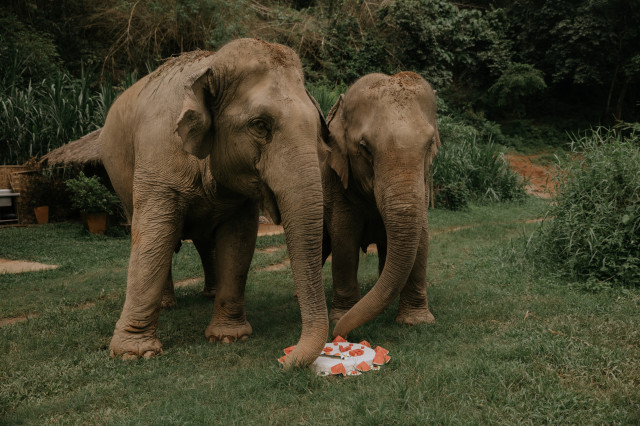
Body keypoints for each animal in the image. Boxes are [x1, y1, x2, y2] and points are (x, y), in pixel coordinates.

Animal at [99, 38, 328, 367]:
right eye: (261, 125)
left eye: (318, 128)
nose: (284, 361)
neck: (211, 65)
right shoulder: (157, 159)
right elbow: (152, 235)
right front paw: (134, 353)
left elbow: (239, 239)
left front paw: (228, 337)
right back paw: (167, 304)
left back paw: (209, 294)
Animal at [321, 72, 440, 338]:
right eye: (365, 148)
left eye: (429, 144)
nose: (337, 335)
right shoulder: (337, 181)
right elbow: (344, 239)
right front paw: (340, 317)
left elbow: (423, 237)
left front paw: (416, 322)